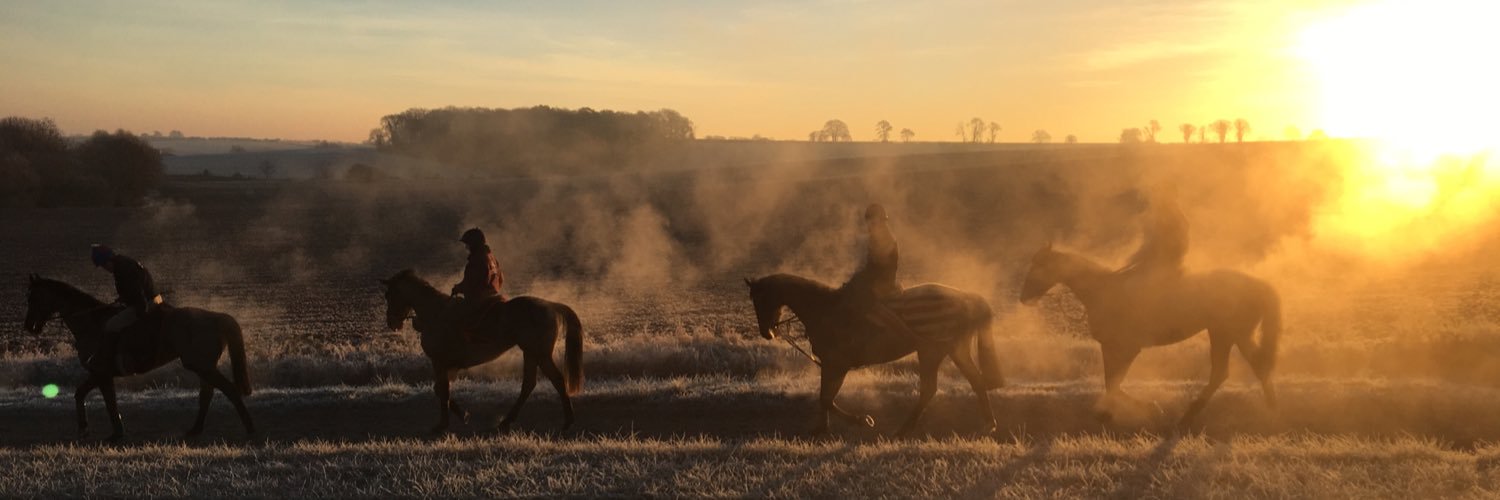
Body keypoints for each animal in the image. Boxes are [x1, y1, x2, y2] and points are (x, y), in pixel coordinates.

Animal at [22, 273, 255, 441]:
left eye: (34, 298)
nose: (29, 326)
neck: (92, 323)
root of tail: (217, 317)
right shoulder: (101, 375)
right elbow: (87, 396)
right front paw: (93, 429)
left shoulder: (101, 373)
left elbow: (106, 402)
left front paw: (107, 432)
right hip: (202, 366)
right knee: (206, 394)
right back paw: (195, 429)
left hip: (203, 366)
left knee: (229, 390)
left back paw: (250, 429)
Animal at [378, 268, 582, 432]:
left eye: (389, 295)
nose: (391, 322)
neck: (435, 314)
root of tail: (550, 305)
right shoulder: (447, 365)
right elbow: (439, 389)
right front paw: (463, 415)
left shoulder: (439, 362)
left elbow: (443, 391)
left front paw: (443, 424)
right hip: (530, 353)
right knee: (529, 384)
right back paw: (507, 422)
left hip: (539, 354)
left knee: (557, 380)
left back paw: (568, 421)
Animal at [741, 273, 1002, 435]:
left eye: (760, 299)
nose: (766, 333)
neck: (824, 310)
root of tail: (966, 297)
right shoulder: (830, 364)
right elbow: (824, 397)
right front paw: (821, 429)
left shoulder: (837, 364)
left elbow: (827, 398)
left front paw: (862, 420)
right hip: (955, 349)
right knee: (976, 381)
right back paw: (989, 424)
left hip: (931, 352)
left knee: (930, 389)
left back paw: (902, 431)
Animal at [1026, 243, 1284, 423]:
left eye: (1039, 266)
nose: (1023, 296)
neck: (1103, 292)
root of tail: (1259, 285)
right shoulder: (1110, 347)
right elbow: (1111, 381)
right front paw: (1107, 413)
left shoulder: (1126, 348)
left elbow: (1114, 382)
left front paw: (1149, 408)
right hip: (1231, 334)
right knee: (1243, 369)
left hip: (1228, 333)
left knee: (1237, 369)